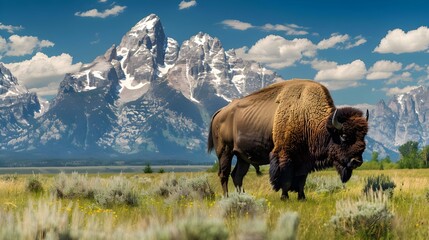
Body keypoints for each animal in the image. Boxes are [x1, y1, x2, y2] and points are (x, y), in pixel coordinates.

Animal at [207, 79, 368, 200]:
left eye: (363, 136)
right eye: (344, 136)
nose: (357, 161)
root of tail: (221, 111)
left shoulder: (304, 160)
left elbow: (301, 179)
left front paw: (302, 197)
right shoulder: (285, 155)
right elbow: (285, 178)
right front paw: (285, 197)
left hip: (242, 157)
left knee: (237, 176)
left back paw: (242, 196)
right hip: (225, 152)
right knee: (224, 174)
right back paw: (227, 197)